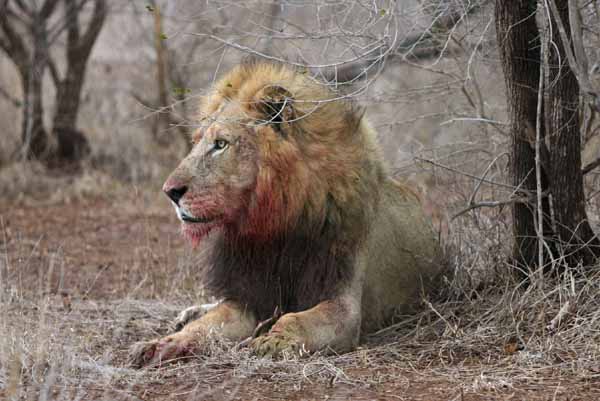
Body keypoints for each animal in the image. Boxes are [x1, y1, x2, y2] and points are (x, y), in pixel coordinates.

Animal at [129, 58, 442, 366]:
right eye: (197, 143)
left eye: (221, 144)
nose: (170, 192)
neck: (275, 223)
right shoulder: (249, 297)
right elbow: (209, 324)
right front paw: (160, 345)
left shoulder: (345, 305)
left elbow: (294, 319)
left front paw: (273, 341)